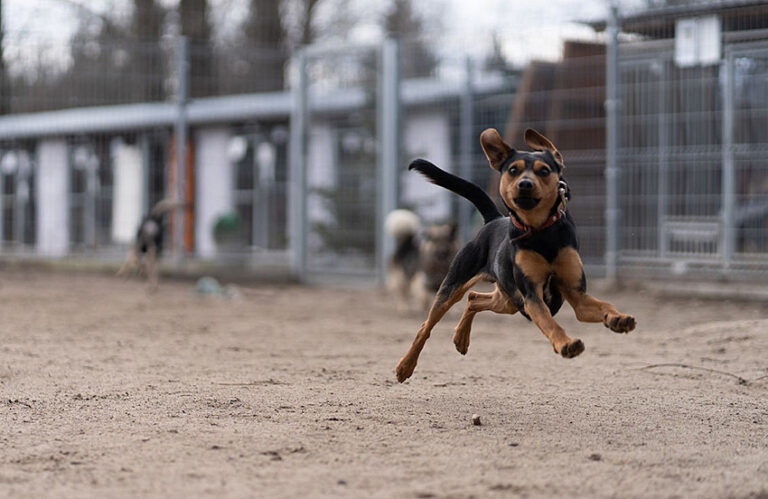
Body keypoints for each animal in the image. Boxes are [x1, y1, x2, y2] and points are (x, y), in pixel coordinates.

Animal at [396, 128, 636, 382]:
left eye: (544, 170)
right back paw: (405, 366)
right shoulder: (531, 296)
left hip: (509, 300)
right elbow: (550, 323)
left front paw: (618, 319)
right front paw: (566, 344)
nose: (525, 184)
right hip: (456, 285)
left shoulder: (576, 294)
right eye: (513, 170)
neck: (541, 231)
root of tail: (493, 219)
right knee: (426, 326)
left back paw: (461, 338)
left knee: (473, 298)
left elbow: (605, 305)